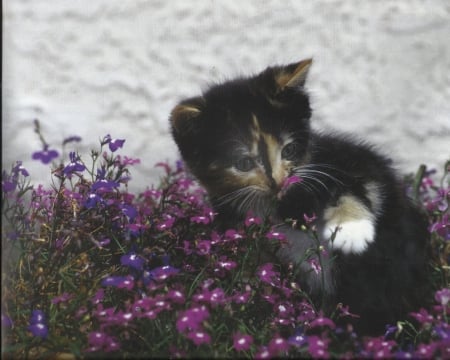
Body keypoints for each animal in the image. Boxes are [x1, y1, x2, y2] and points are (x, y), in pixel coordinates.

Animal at [171, 59, 430, 334]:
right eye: (243, 163)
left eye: (289, 150)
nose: (278, 181)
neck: (276, 204)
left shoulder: (351, 162)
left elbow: (358, 186)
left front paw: (351, 230)